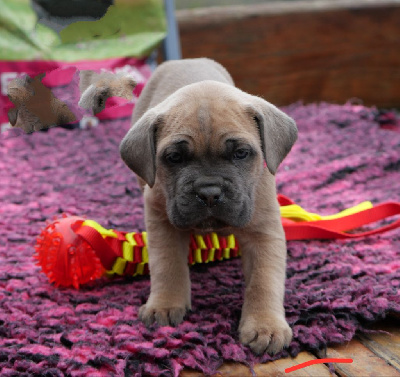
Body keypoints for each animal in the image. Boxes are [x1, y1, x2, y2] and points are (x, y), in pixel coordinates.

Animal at [119, 57, 296, 354]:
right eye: (174, 157)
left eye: (240, 154)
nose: (209, 192)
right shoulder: (161, 222)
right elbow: (167, 265)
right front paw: (165, 304)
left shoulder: (264, 233)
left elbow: (263, 280)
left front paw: (265, 325)